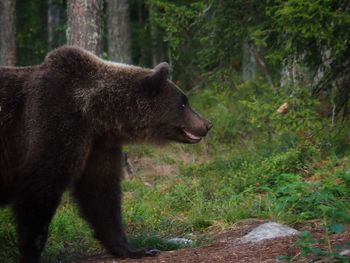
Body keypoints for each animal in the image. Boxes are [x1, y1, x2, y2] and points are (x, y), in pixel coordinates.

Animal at [0, 46, 211, 263]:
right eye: (184, 103)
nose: (207, 124)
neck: (94, 112)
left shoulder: (98, 145)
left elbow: (101, 194)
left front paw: (136, 249)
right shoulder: (54, 123)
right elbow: (40, 188)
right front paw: (30, 252)